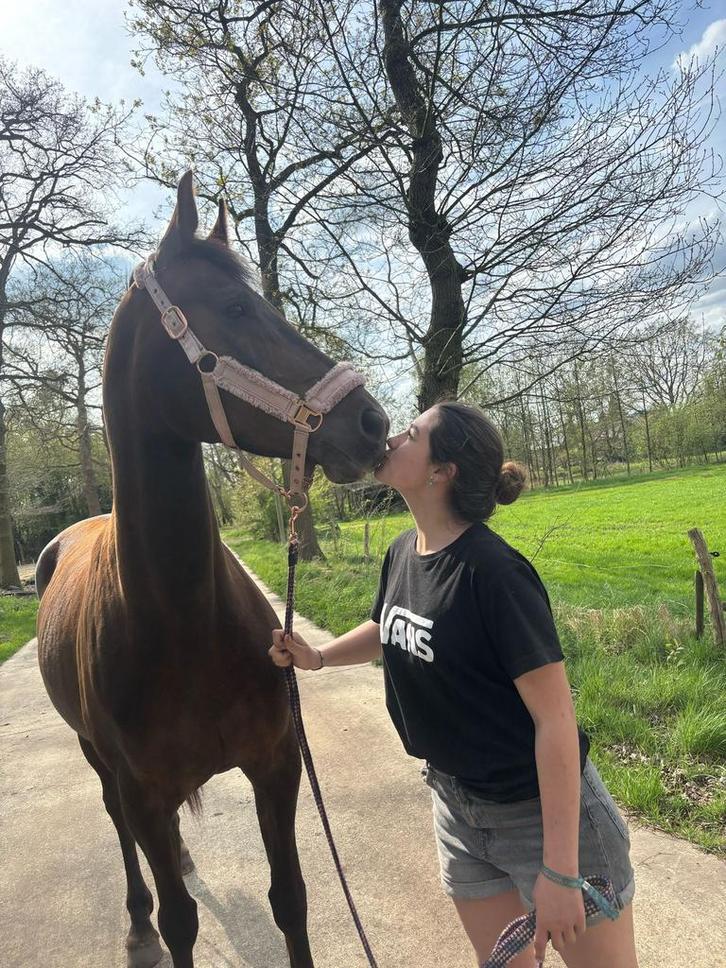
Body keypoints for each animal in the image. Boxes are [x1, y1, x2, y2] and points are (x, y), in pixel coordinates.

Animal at [34, 171, 388, 968]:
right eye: (233, 309)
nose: (372, 423)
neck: (179, 620)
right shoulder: (143, 792)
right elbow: (180, 921)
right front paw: (154, 922)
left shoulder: (276, 765)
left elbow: (291, 900)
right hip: (97, 762)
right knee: (122, 832)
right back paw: (135, 919)